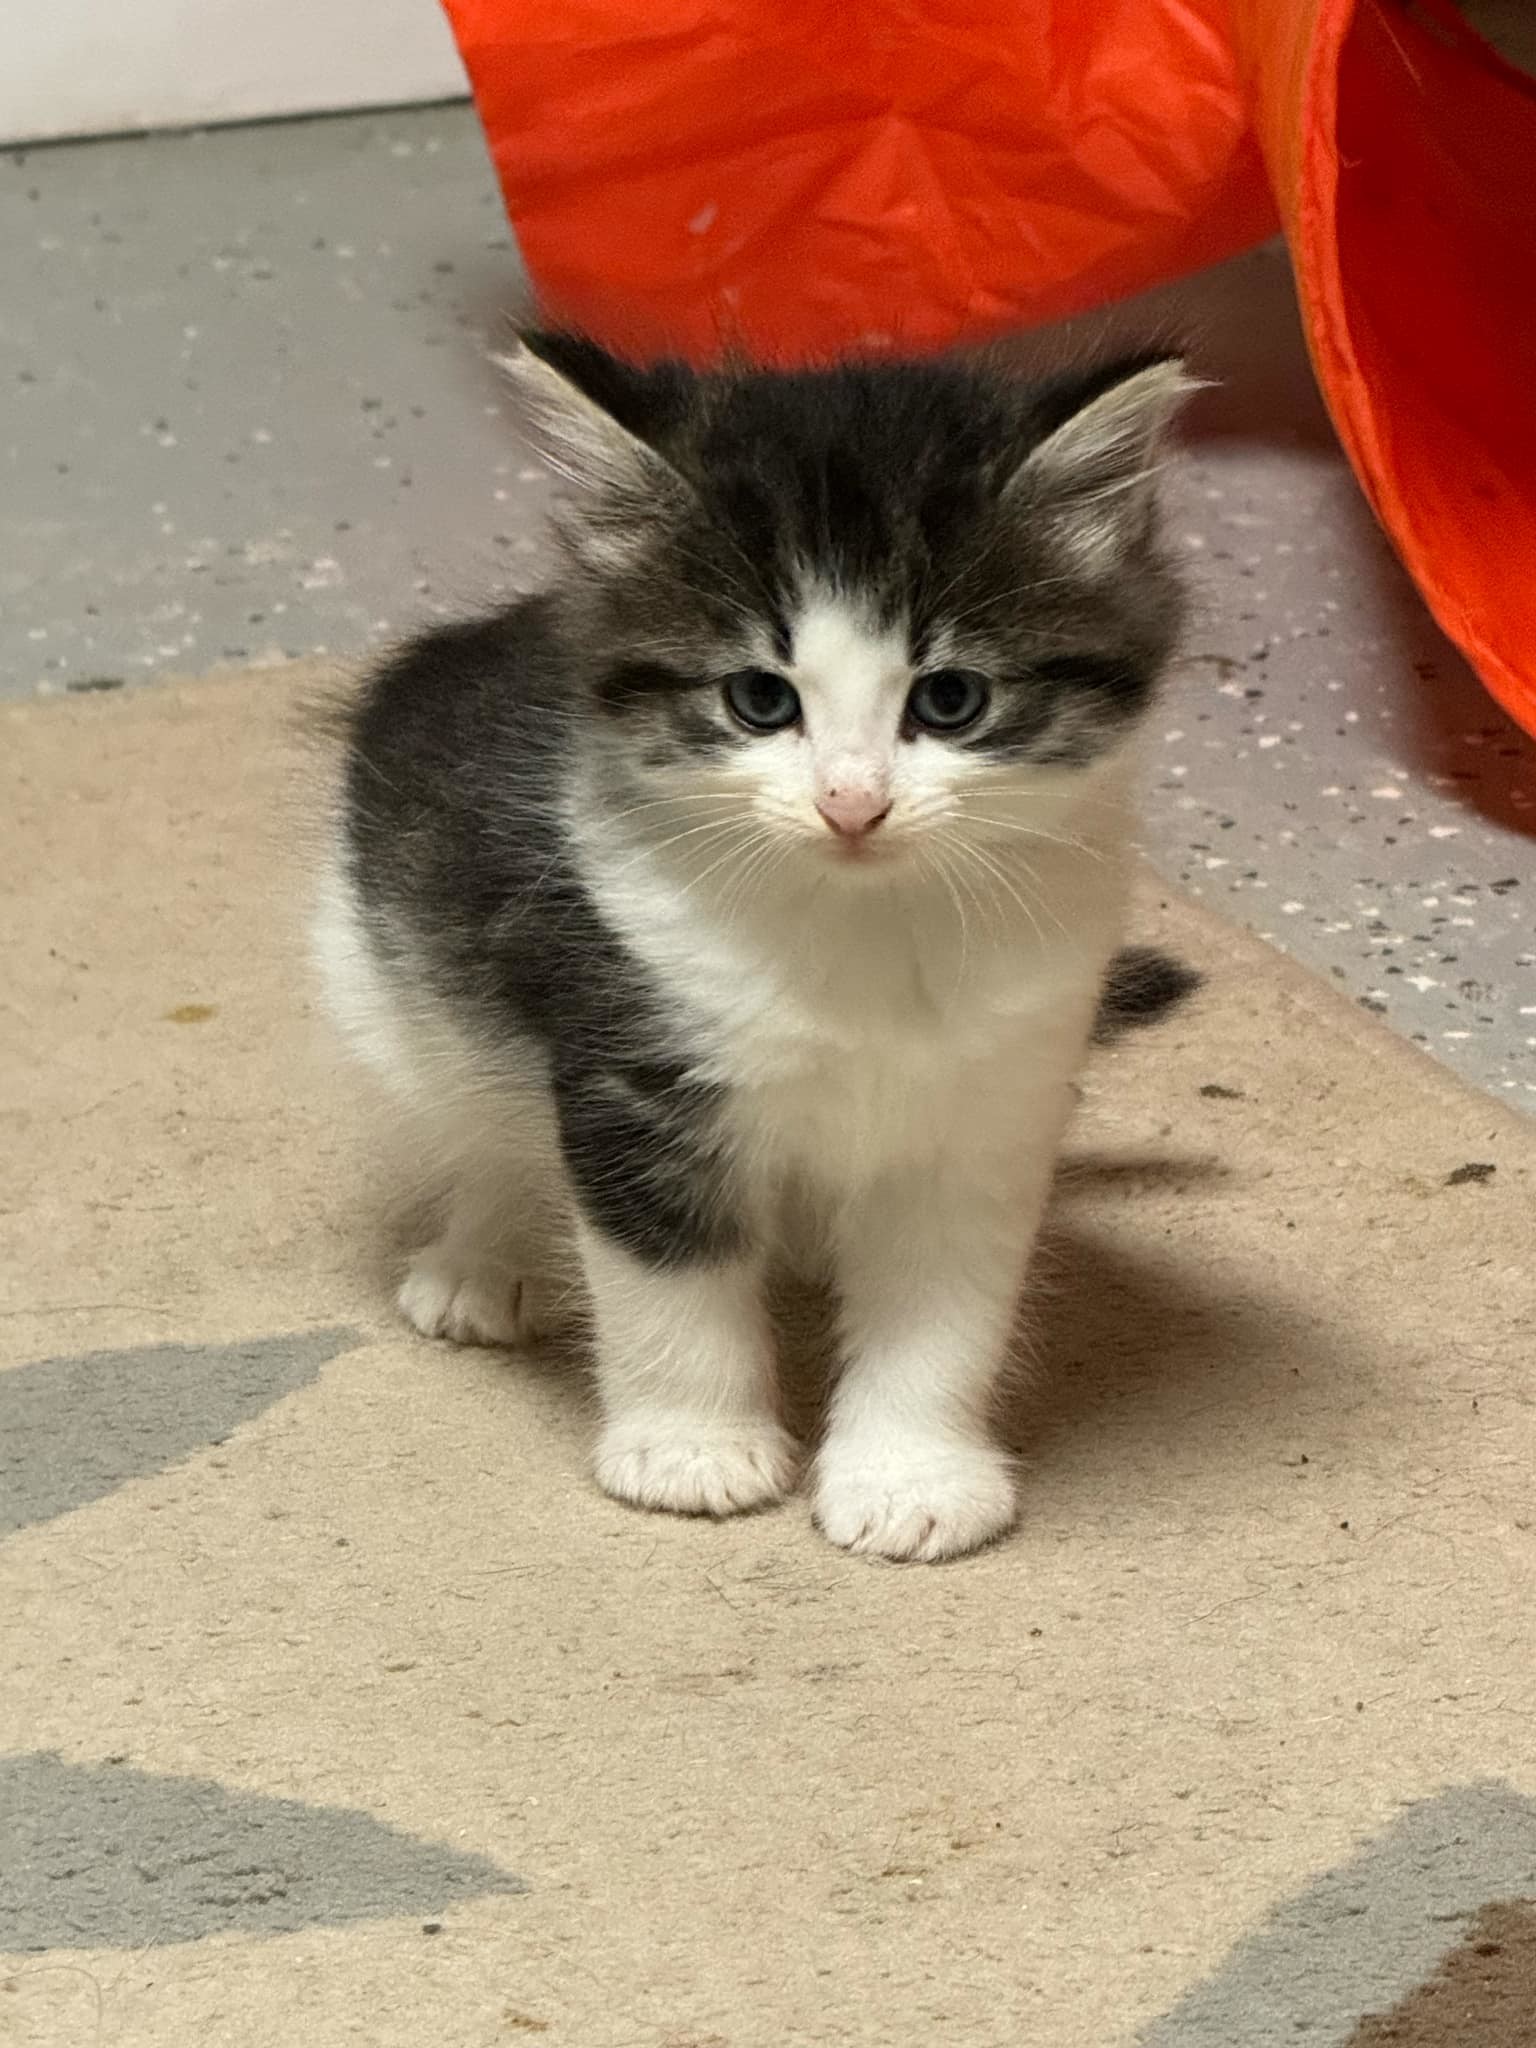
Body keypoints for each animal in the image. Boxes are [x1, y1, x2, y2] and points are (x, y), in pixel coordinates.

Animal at [313, 335, 1204, 1556]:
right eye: (758, 699)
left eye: (952, 699)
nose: (851, 804)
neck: (866, 933)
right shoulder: (635, 1067)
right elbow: (666, 1278)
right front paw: (693, 1450)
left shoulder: (998, 1098)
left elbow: (944, 1304)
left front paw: (910, 1473)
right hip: (388, 980)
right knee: (487, 1122)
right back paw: (483, 1257)